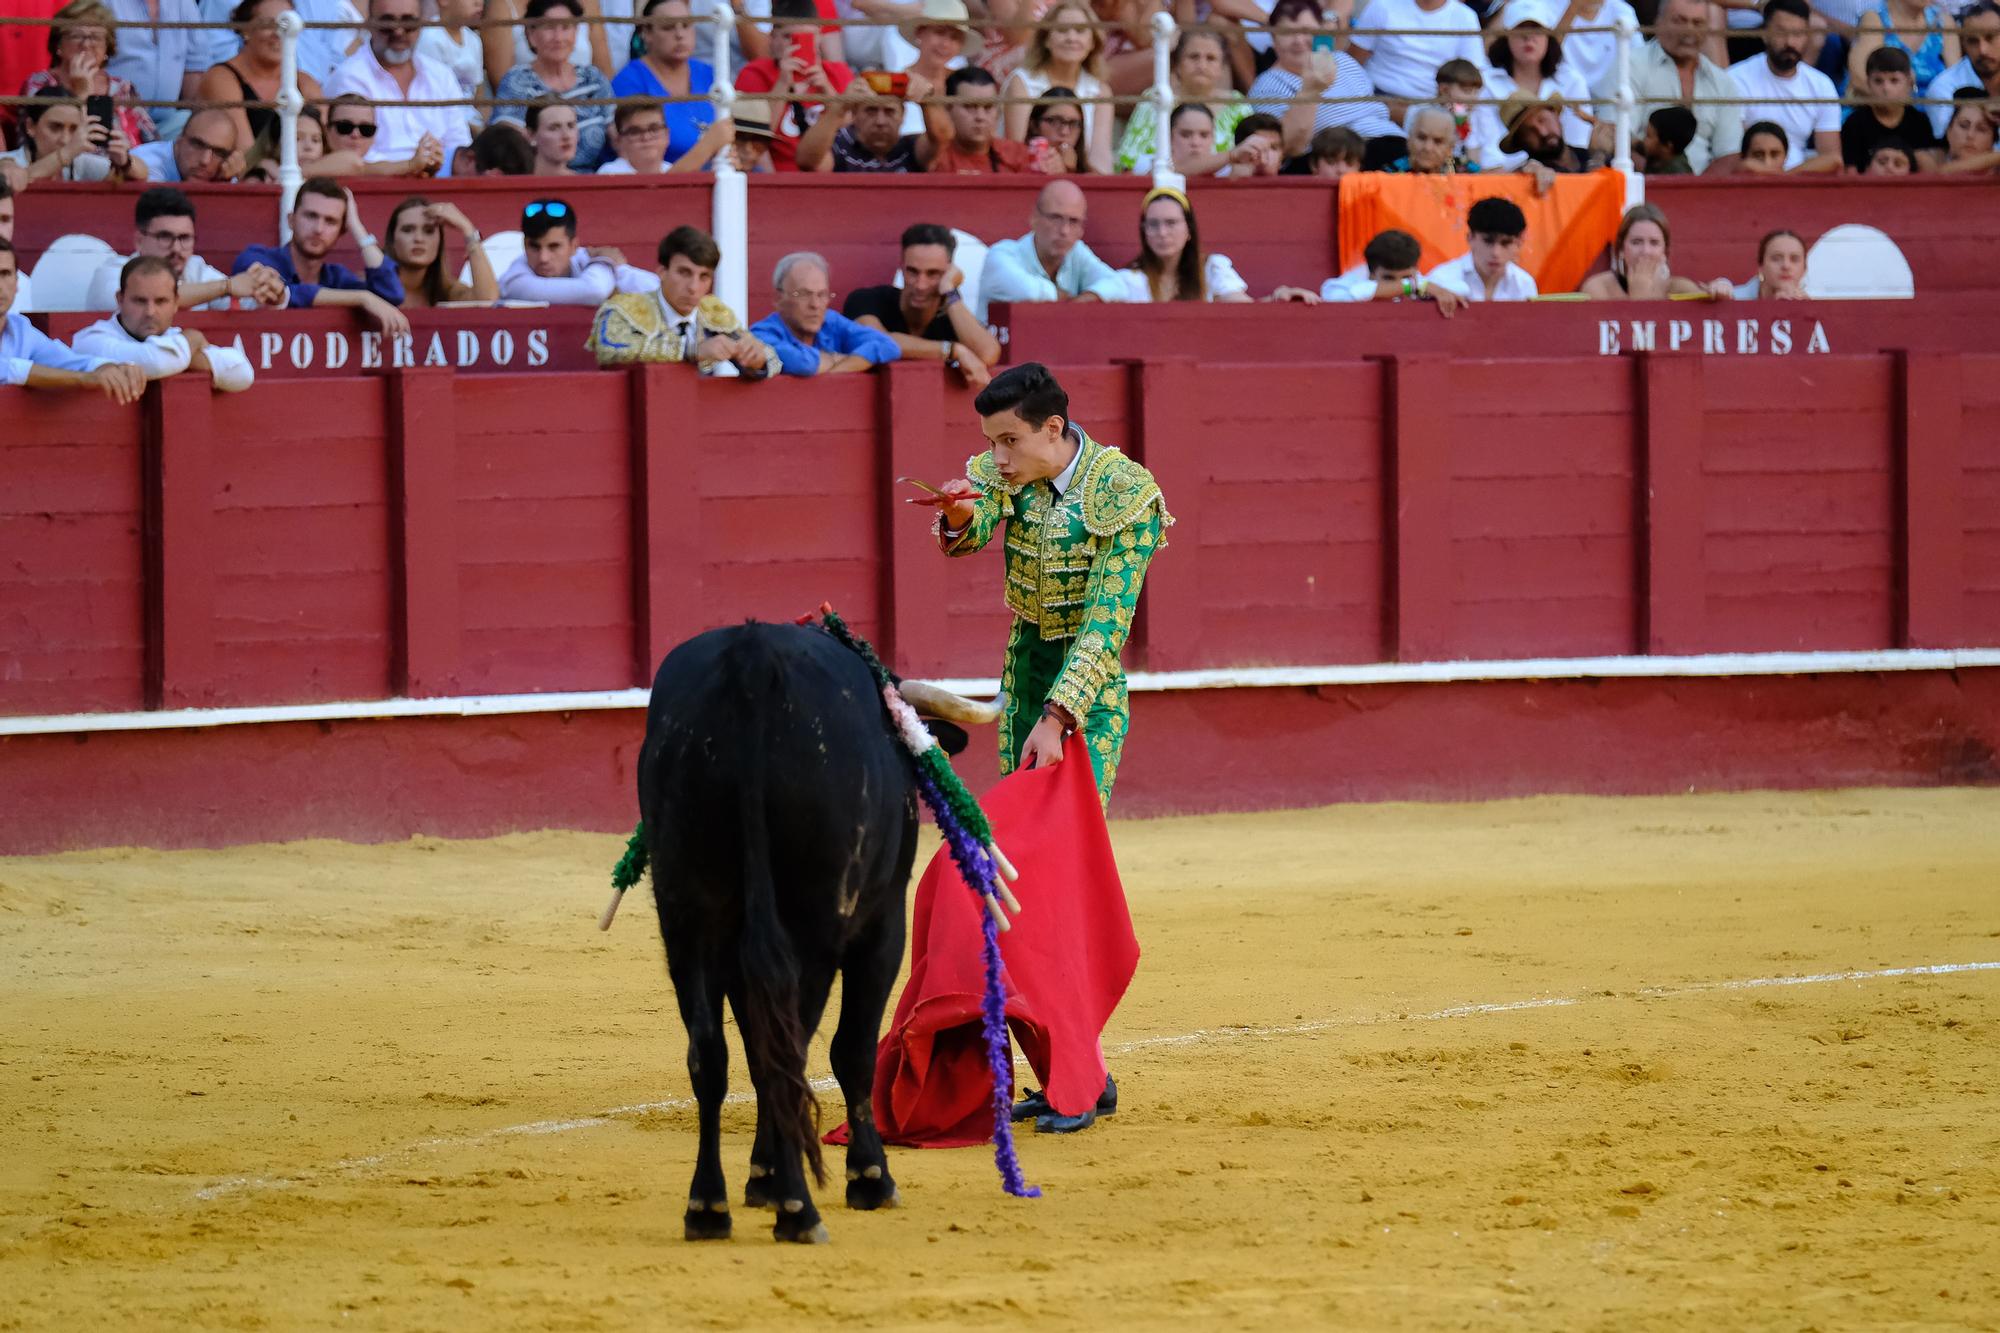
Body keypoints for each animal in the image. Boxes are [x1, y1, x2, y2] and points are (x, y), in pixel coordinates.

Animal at [632, 616, 992, 1240]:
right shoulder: (881, 928)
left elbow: (751, 1053)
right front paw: (868, 1178)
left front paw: (762, 1177)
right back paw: (800, 1209)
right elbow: (853, 1051)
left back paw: (708, 1206)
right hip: (815, 927)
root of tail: (751, 660)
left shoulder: (735, 950)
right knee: (794, 1051)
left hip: (685, 915)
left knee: (712, 1054)